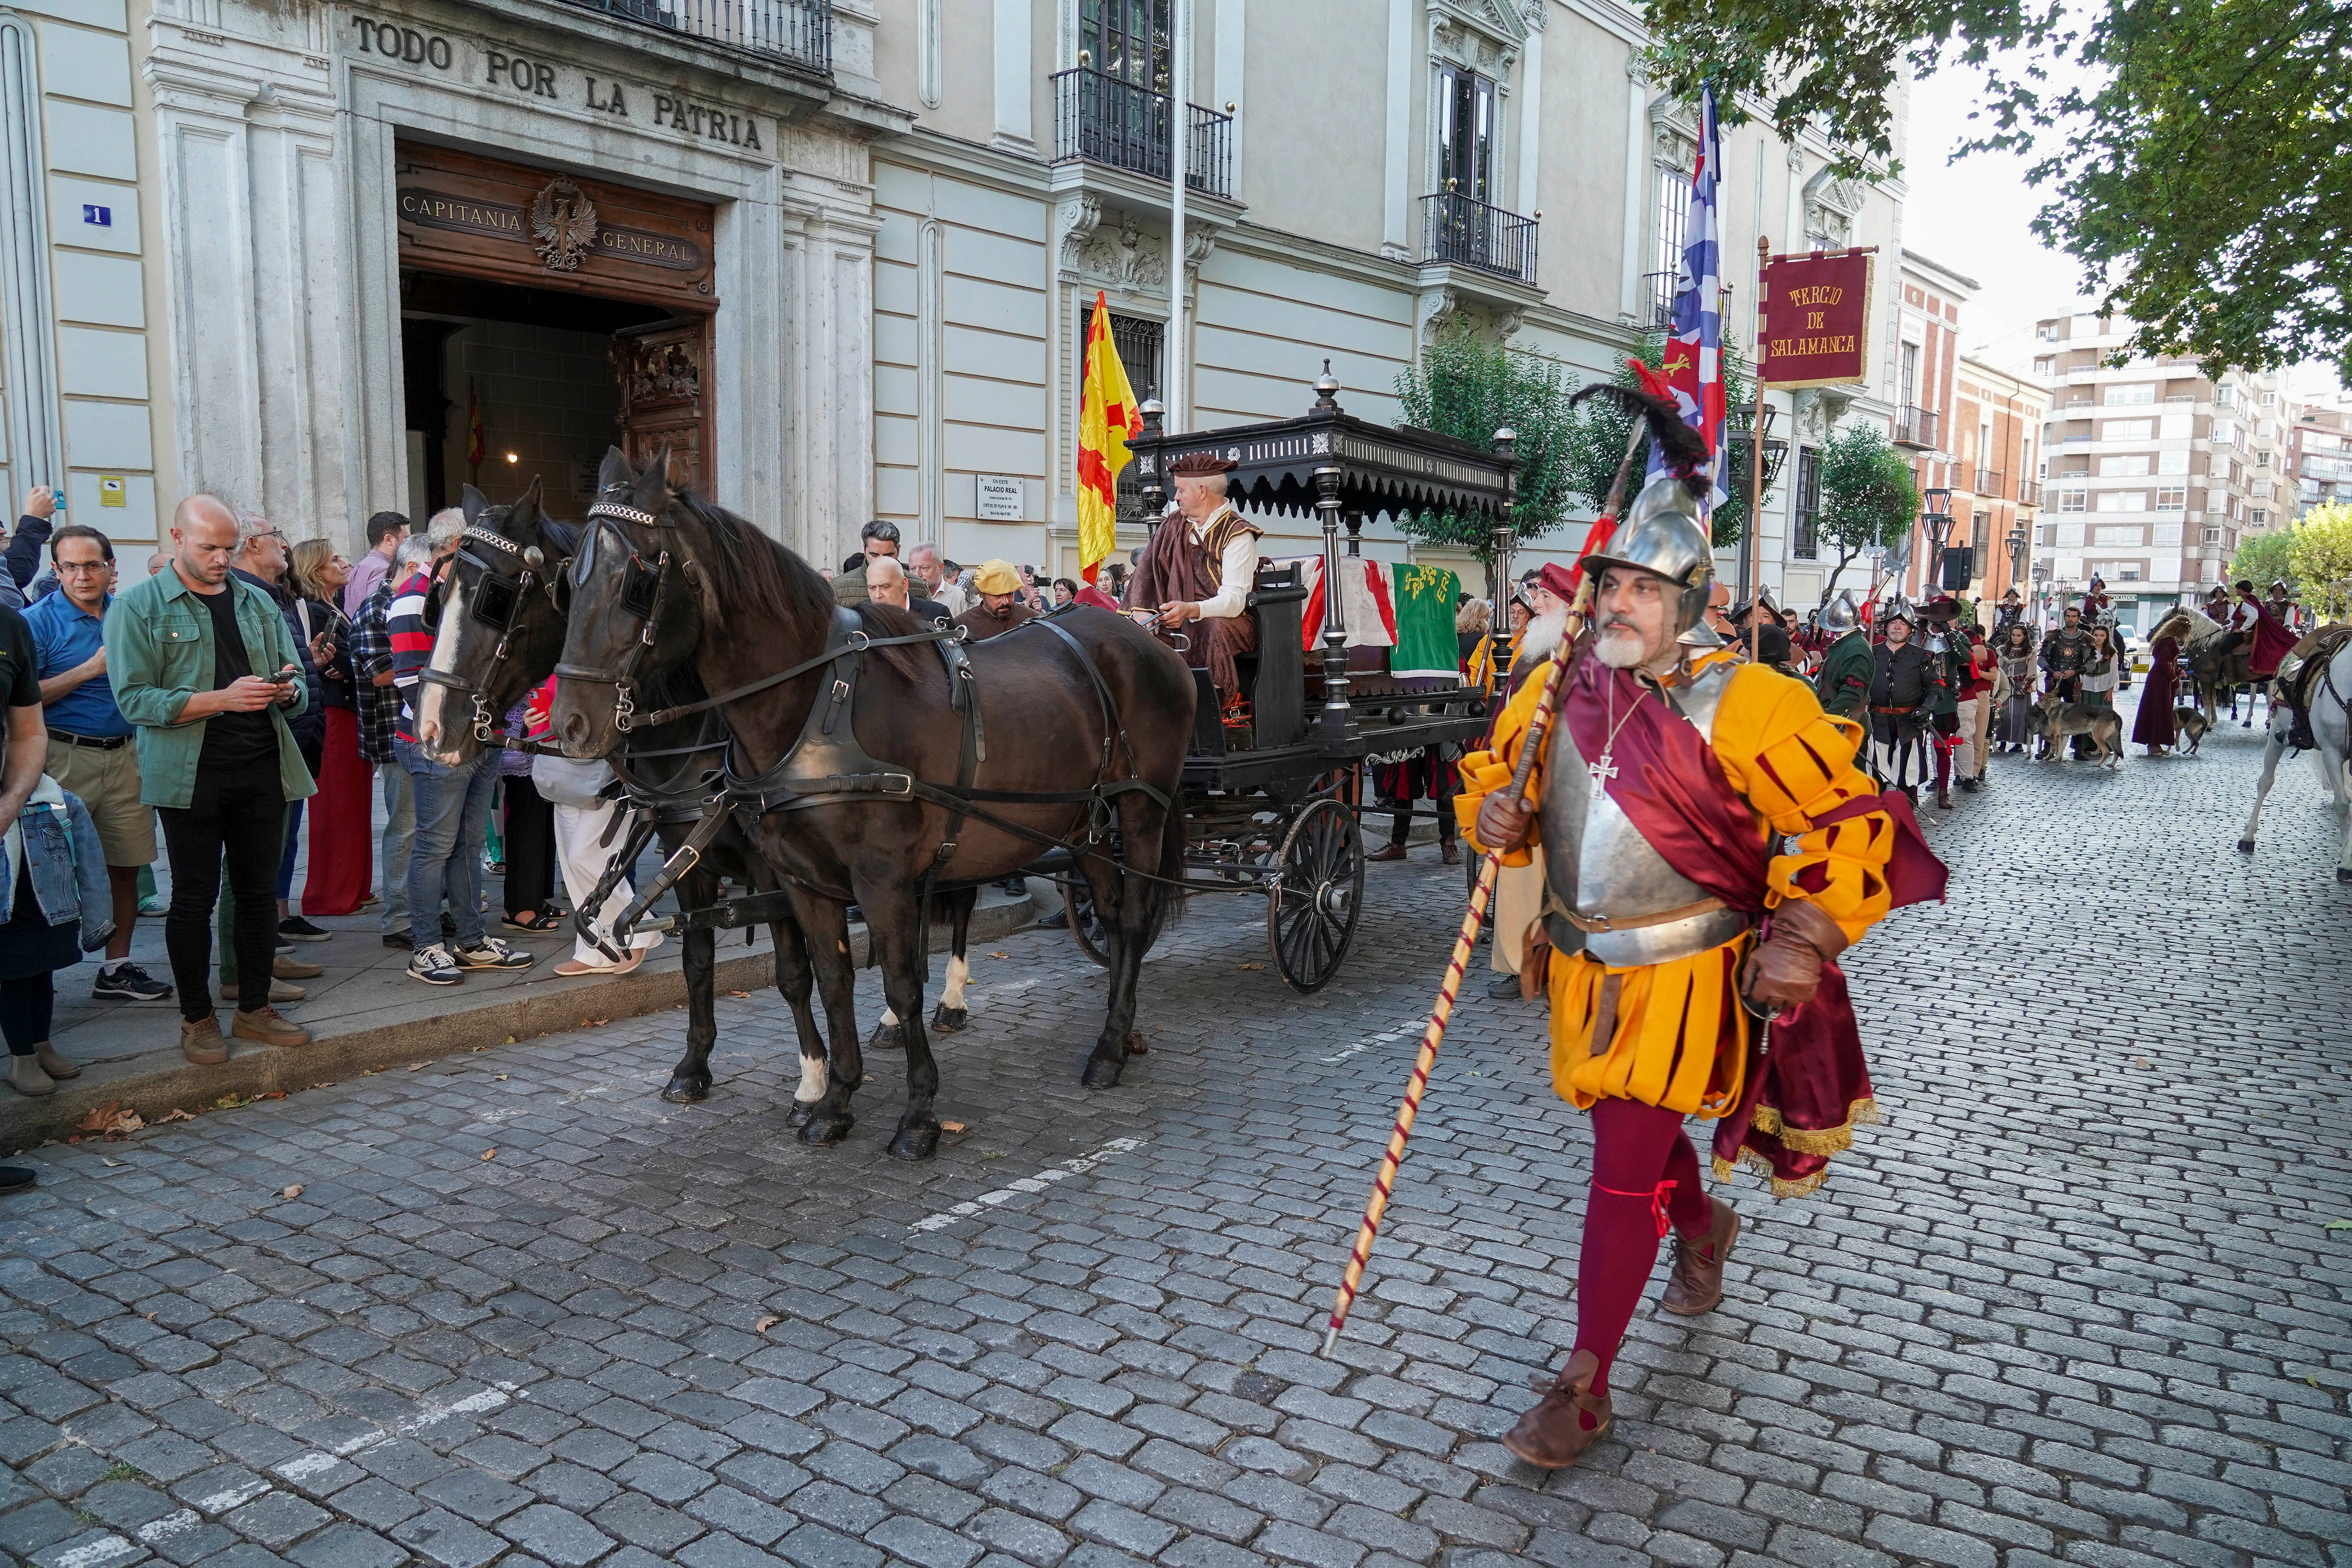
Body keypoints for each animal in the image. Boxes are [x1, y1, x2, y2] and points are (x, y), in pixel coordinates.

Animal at [409, 484, 833, 1109]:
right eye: (438, 599)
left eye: (496, 598)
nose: (432, 728)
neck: (703, 729)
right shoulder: (689, 862)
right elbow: (697, 963)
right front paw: (692, 1067)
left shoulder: (773, 870)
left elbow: (794, 970)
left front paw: (813, 1075)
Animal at [541, 446, 1185, 1161]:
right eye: (567, 582)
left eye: (635, 580)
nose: (570, 724)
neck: (812, 705)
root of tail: (1146, 638)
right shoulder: (800, 880)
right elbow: (828, 977)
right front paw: (834, 1101)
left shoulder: (880, 879)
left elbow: (901, 984)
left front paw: (918, 1114)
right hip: (1087, 824)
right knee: (1112, 914)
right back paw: (1120, 1032)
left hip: (1142, 810)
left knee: (1133, 917)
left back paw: (1108, 1048)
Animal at [2032, 700, 2126, 771]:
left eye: (2039, 699)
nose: (2035, 704)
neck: (2054, 707)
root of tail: (2115, 713)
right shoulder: (2065, 736)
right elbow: (2060, 750)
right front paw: (2059, 759)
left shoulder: (2057, 736)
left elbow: (2057, 750)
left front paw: (2055, 759)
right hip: (2110, 740)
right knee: (2116, 753)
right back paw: (2112, 764)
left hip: (2096, 737)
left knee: (2106, 752)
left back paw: (2098, 764)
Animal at [2239, 639, 2352, 883]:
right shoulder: (2331, 752)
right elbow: (2342, 804)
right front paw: (2347, 863)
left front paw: (2346, 854)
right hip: (2277, 733)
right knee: (2265, 782)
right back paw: (2248, 836)